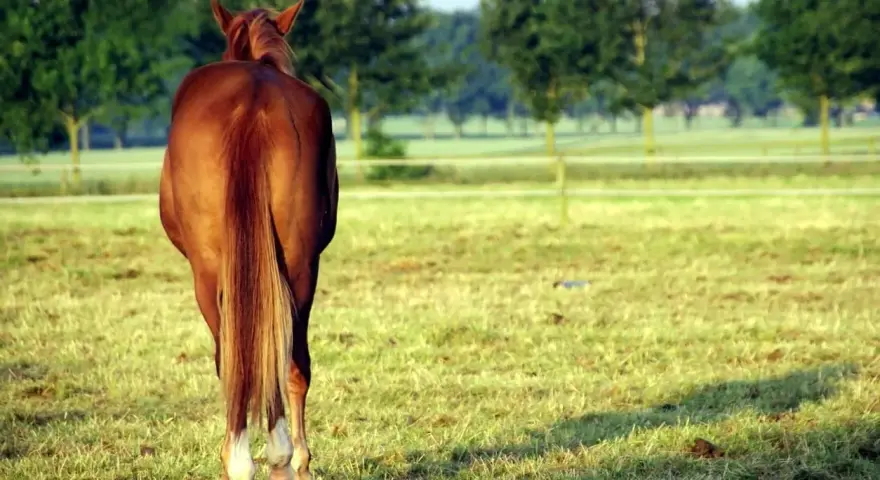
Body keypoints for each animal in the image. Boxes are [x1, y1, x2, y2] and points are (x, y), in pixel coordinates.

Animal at [158, 0, 338, 478]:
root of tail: (253, 103)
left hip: (207, 275)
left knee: (241, 361)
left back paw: (254, 458)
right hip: (299, 266)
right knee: (287, 359)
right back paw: (283, 457)